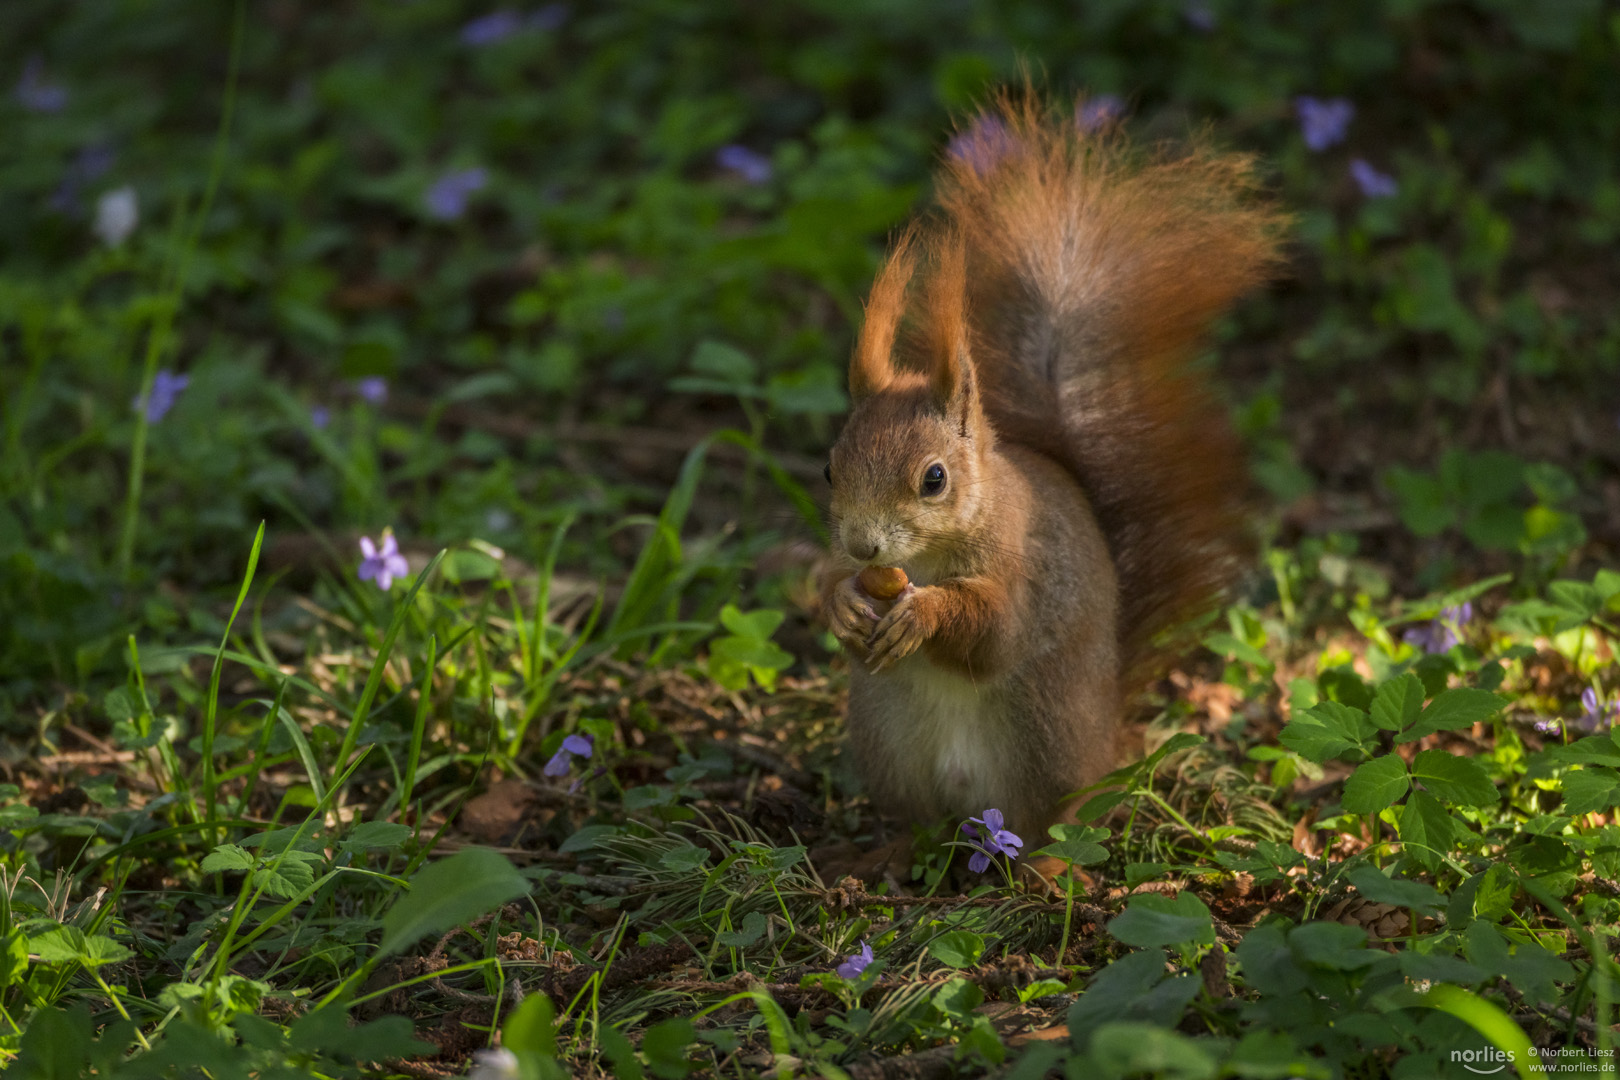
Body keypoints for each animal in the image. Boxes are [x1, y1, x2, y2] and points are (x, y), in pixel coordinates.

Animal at [816, 93, 1283, 854]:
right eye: (830, 469)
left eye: (934, 479)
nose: (863, 546)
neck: (938, 551)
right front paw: (843, 602)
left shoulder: (1023, 569)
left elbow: (993, 629)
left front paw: (925, 612)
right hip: (889, 746)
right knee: (917, 825)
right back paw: (883, 857)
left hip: (1049, 746)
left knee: (1050, 831)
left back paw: (1046, 865)